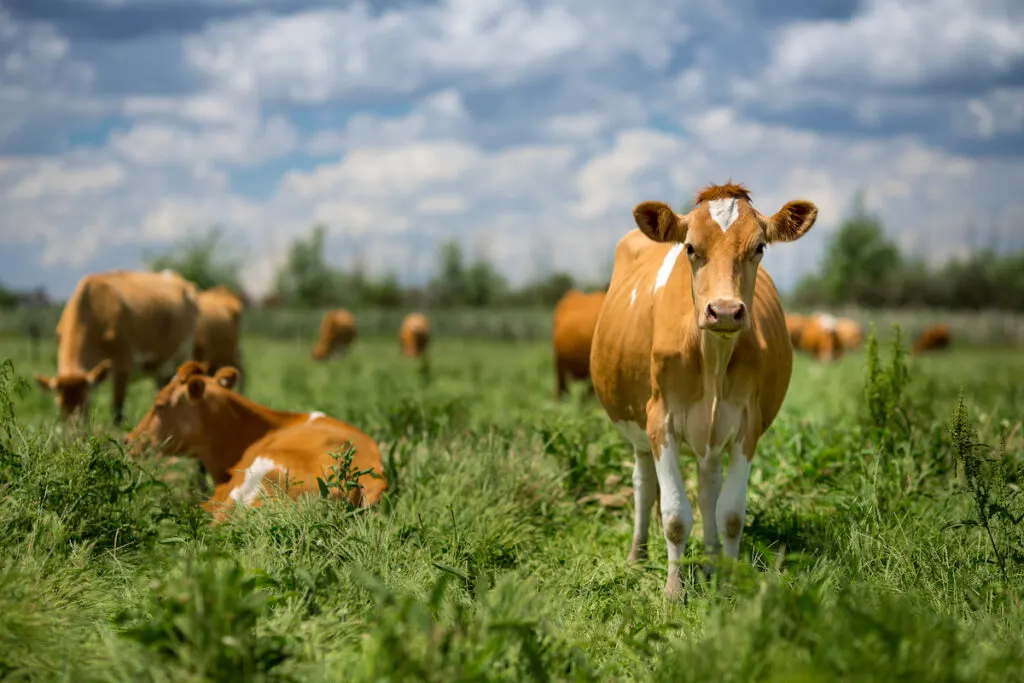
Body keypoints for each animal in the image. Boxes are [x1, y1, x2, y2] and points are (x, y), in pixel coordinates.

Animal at [33, 270, 197, 423]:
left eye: (87, 404)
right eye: (59, 406)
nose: (75, 432)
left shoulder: (123, 365)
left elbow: (117, 411)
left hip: (184, 355)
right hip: (162, 368)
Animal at [593, 181, 815, 598]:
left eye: (759, 247)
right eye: (691, 248)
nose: (725, 310)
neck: (712, 356)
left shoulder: (747, 425)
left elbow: (729, 513)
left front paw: (728, 581)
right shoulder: (659, 421)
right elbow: (675, 515)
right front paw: (673, 590)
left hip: (711, 435)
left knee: (709, 487)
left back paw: (712, 561)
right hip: (638, 431)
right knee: (644, 485)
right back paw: (637, 556)